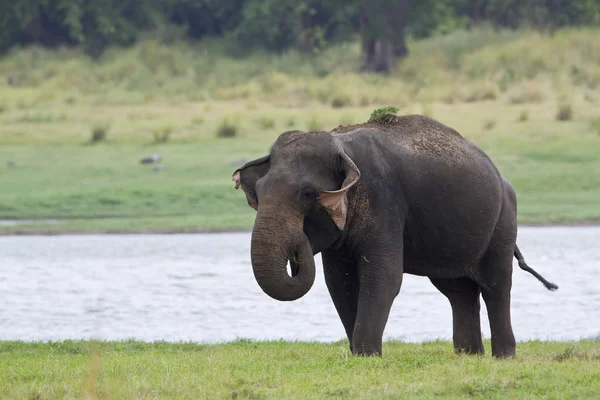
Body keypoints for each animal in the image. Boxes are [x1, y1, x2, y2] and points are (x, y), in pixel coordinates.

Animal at [231, 114, 556, 358]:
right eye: (258, 192)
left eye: (308, 194)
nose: (298, 247)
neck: (341, 145)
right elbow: (339, 282)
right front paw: (358, 354)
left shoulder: (384, 199)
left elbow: (383, 277)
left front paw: (366, 355)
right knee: (458, 291)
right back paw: (468, 355)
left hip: (503, 222)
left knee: (495, 286)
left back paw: (503, 356)